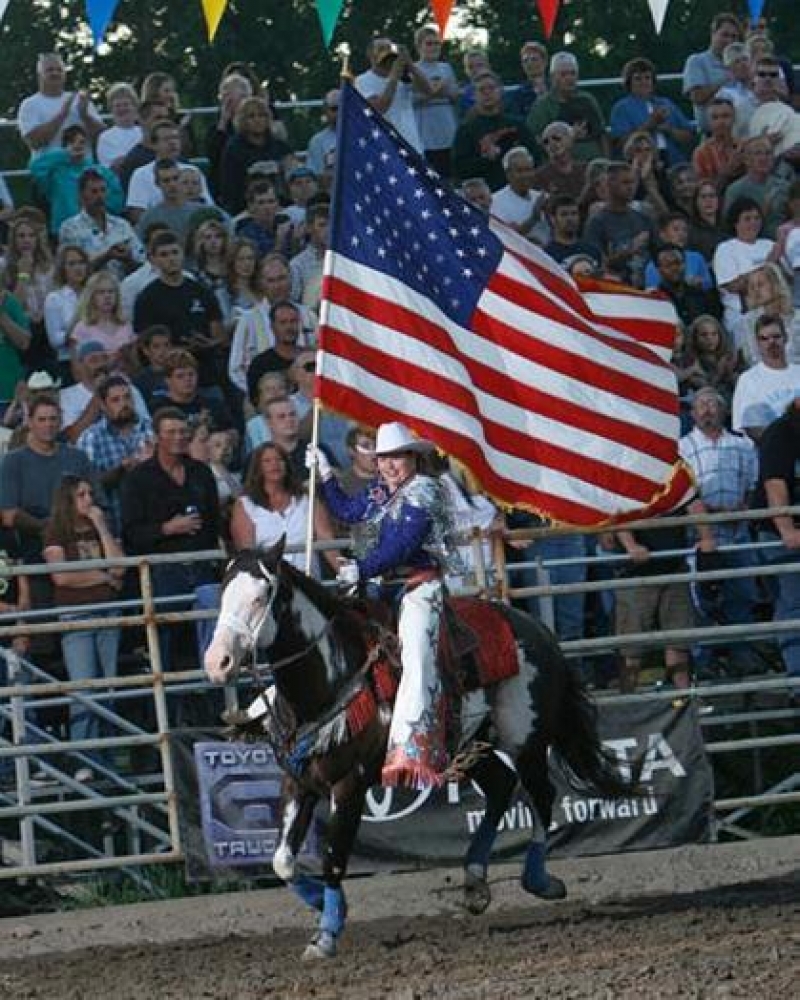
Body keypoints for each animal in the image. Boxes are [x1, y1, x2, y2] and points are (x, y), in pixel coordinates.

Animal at [205, 544, 632, 956]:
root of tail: (537, 628)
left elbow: (333, 860)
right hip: (470, 744)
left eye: (260, 596)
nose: (216, 662)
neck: (330, 681)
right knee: (501, 786)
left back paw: (539, 880)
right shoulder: (299, 781)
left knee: (541, 795)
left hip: (526, 737)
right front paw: (324, 906)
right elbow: (282, 862)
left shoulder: (350, 786)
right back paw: (475, 884)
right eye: (222, 594)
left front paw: (325, 935)